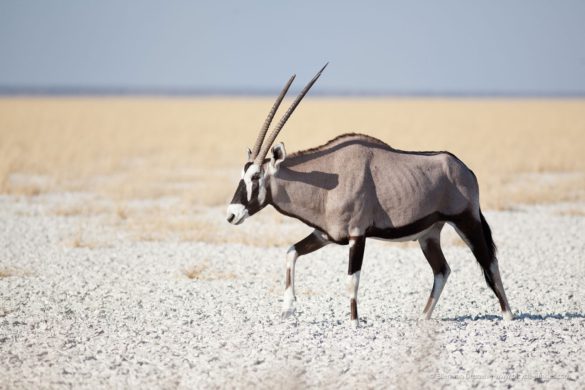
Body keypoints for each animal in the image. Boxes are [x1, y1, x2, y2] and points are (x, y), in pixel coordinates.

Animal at [226, 64, 512, 326]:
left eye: (255, 177)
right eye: (242, 174)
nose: (231, 215)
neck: (327, 179)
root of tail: (465, 169)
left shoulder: (357, 235)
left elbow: (352, 280)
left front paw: (353, 323)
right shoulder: (325, 235)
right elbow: (291, 252)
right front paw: (288, 309)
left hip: (466, 221)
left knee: (489, 262)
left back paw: (508, 316)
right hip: (429, 234)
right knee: (442, 269)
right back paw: (423, 318)